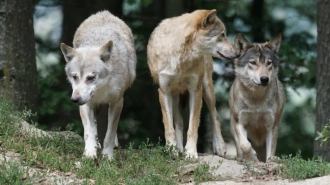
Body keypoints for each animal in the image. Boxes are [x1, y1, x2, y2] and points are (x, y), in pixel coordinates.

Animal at [60, 10, 136, 160]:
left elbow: (110, 133)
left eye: (91, 77)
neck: (101, 90)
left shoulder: (117, 101)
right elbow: (88, 131)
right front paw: (90, 153)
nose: (74, 99)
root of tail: (104, 12)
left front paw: (108, 157)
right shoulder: (85, 104)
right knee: (94, 125)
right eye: (75, 77)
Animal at [148, 9, 238, 158]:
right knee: (179, 121)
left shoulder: (195, 90)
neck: (181, 57)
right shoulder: (164, 91)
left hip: (207, 88)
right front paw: (172, 150)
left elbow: (193, 127)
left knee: (215, 115)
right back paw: (179, 148)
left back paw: (219, 146)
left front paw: (190, 152)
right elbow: (169, 127)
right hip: (174, 95)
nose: (238, 53)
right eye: (222, 35)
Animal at [229, 33, 286, 162]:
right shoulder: (239, 122)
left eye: (269, 63)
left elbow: (270, 152)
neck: (256, 99)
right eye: (253, 62)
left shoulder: (272, 126)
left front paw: (269, 161)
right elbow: (245, 145)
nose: (264, 79)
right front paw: (252, 157)